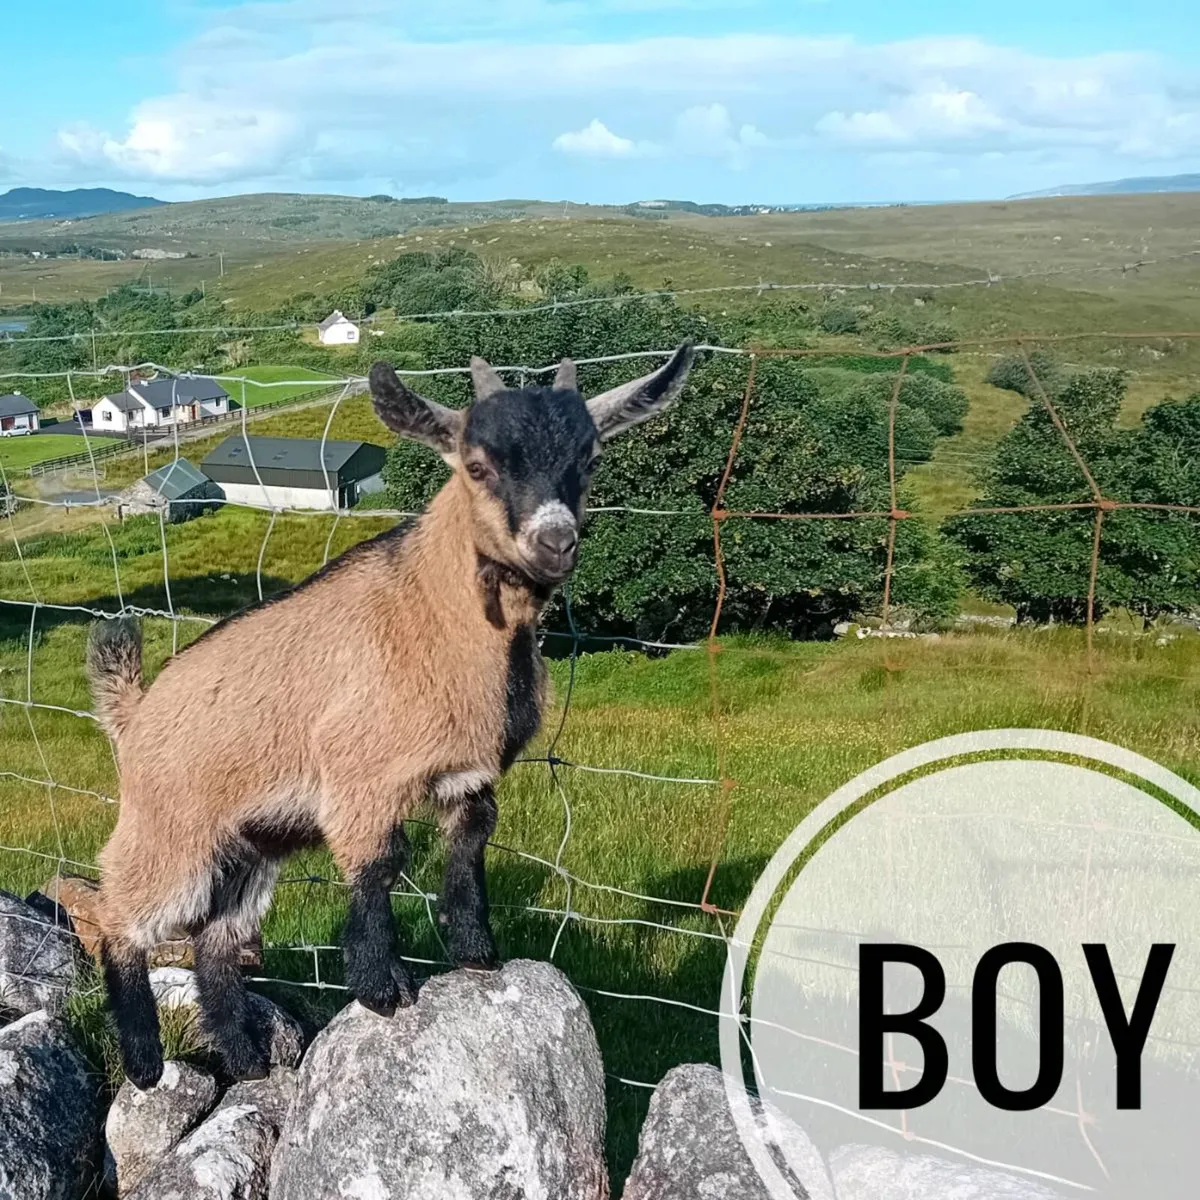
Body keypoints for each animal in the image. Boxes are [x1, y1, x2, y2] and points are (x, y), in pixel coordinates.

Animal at [88, 342, 697, 1087]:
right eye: (476, 464)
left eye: (591, 459)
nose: (556, 542)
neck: (430, 611)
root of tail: (133, 713)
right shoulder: (360, 779)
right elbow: (381, 864)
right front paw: (383, 989)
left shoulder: (469, 777)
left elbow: (469, 846)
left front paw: (476, 954)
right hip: (171, 830)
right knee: (114, 913)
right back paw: (146, 1060)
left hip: (251, 845)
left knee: (216, 941)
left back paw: (248, 1062)